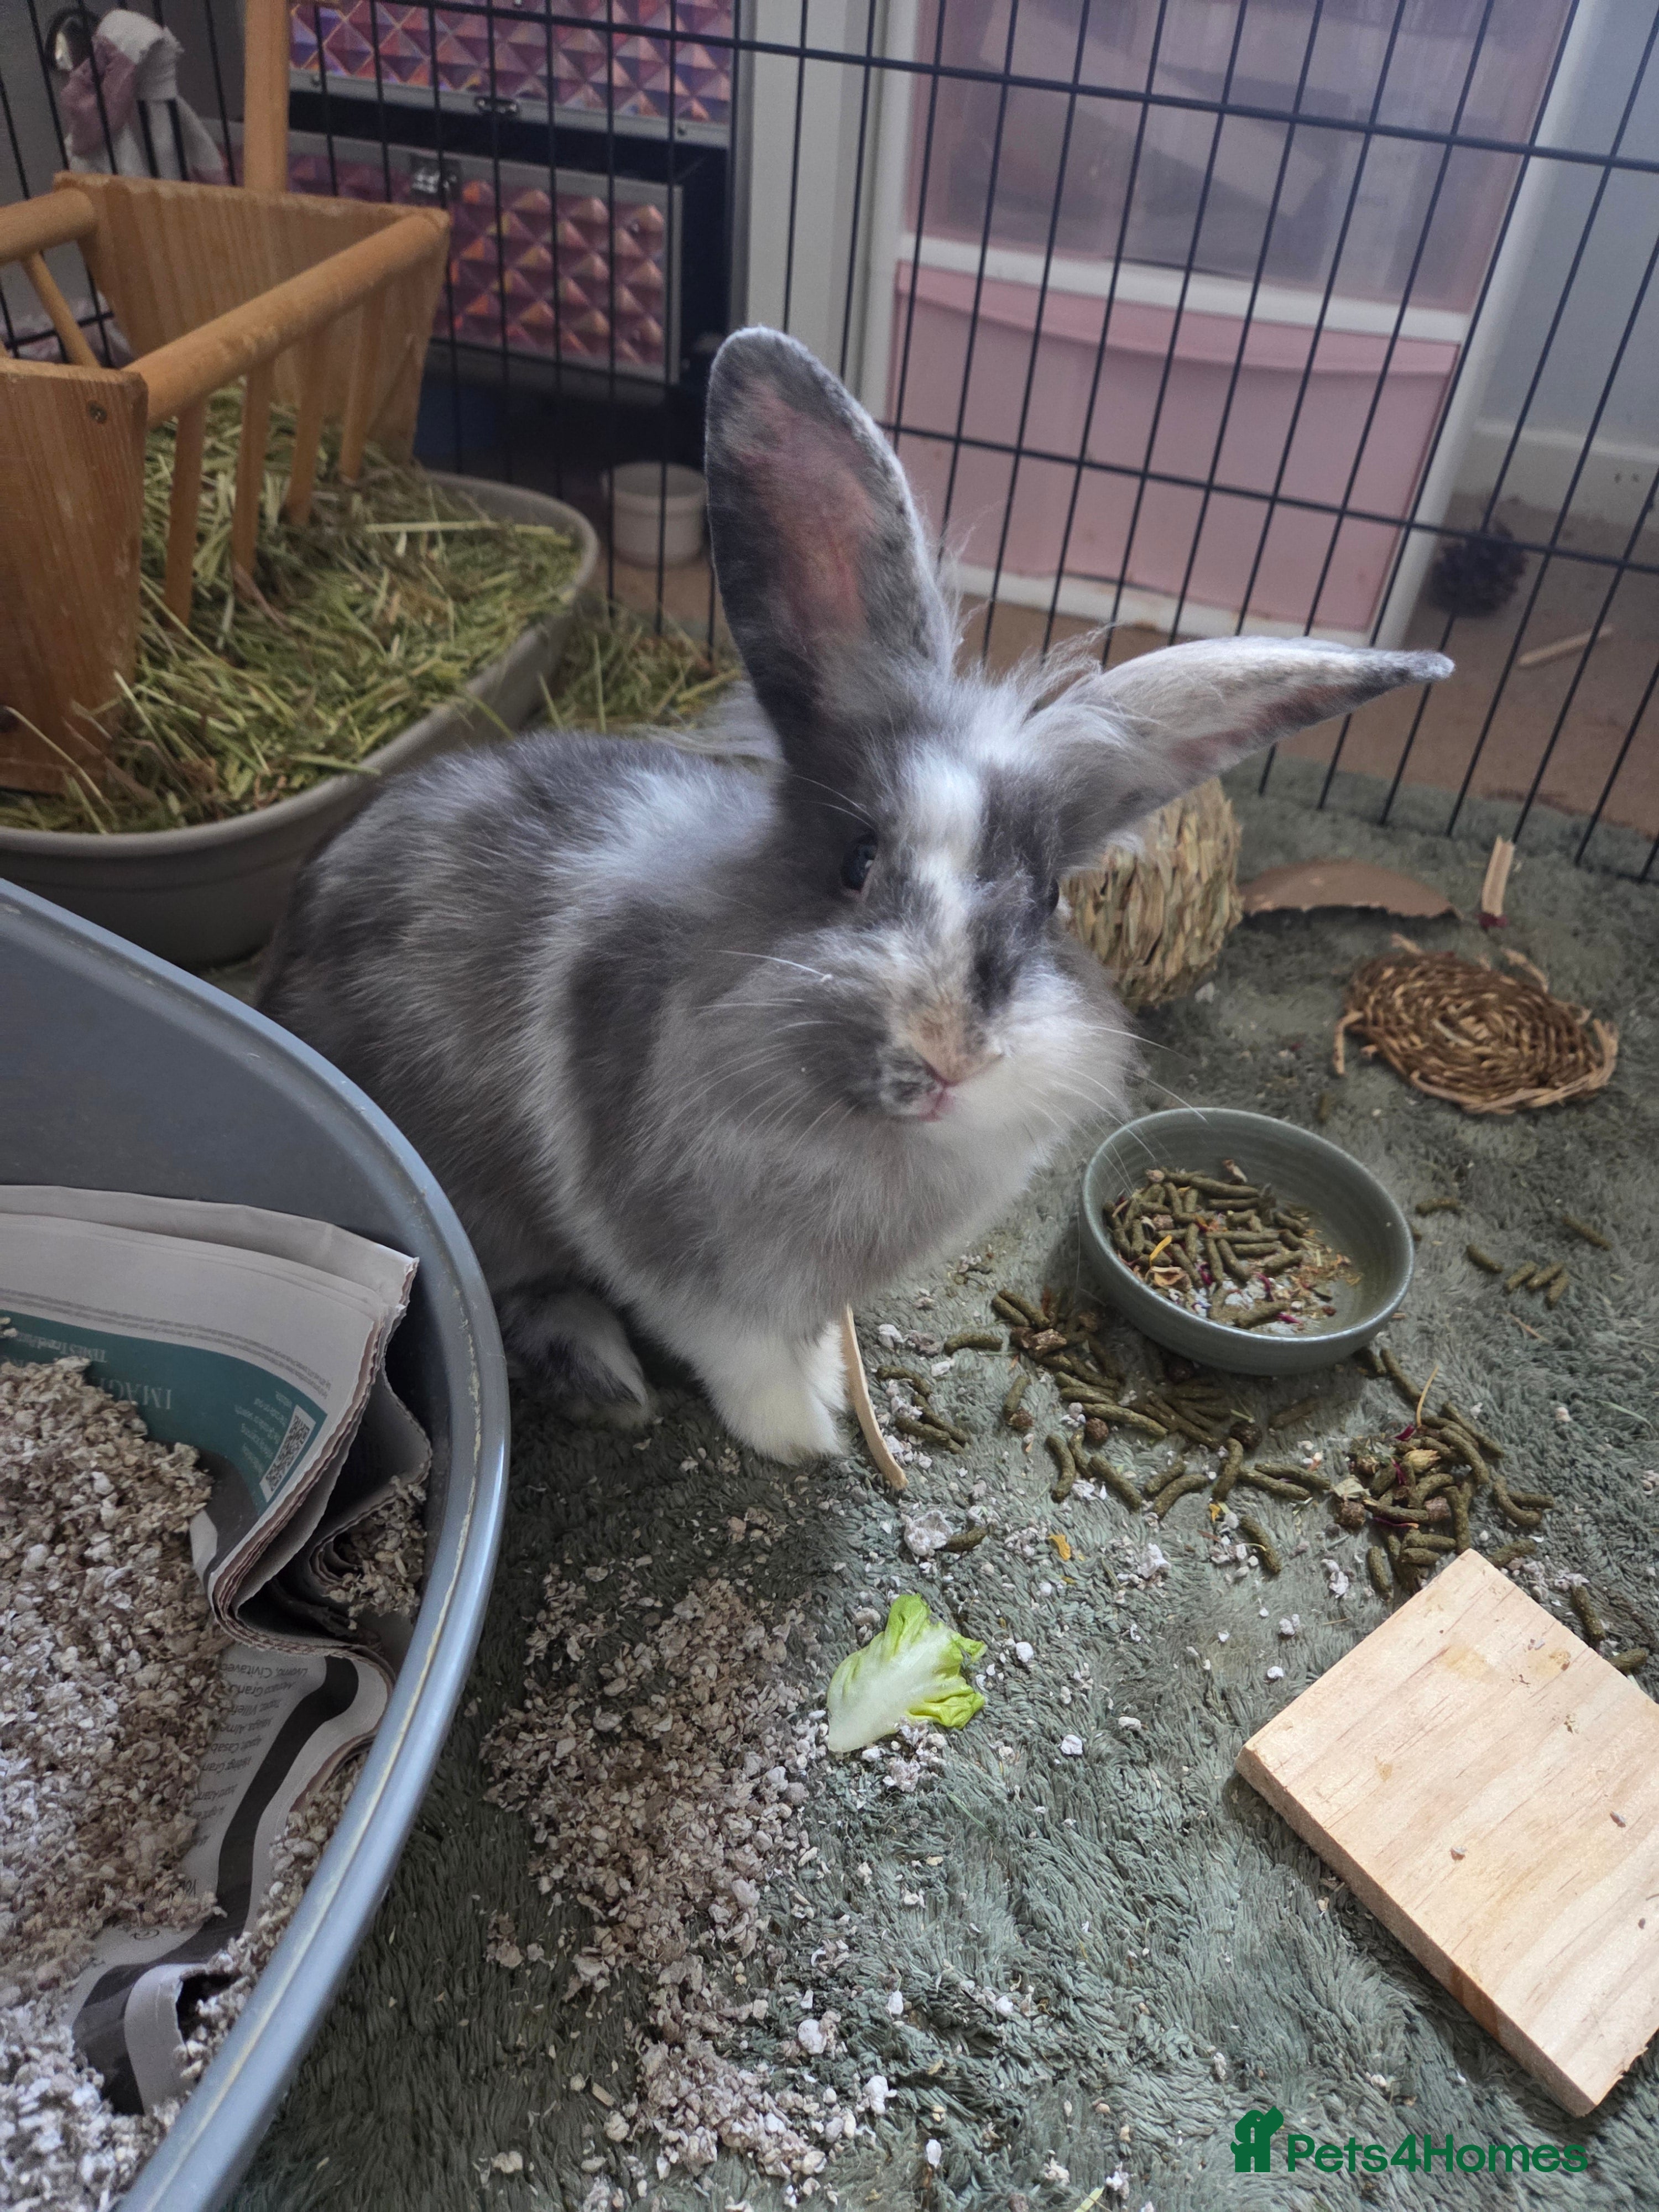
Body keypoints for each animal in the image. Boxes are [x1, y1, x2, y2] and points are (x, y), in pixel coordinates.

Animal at [258, 326, 1450, 1463]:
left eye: (1048, 902)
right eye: (856, 861)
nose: (947, 1058)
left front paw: (830, 1382)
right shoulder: (678, 1260)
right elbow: (736, 1348)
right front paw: (803, 1434)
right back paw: (608, 1382)